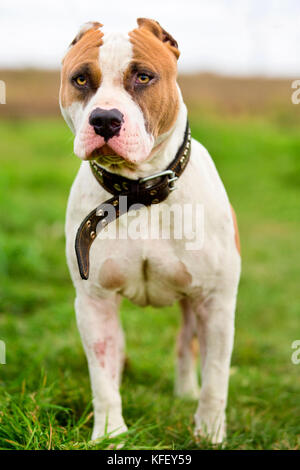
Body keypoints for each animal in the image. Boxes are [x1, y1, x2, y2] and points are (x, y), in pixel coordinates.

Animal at [59, 19, 241, 444]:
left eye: (143, 77)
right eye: (80, 79)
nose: (105, 120)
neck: (139, 192)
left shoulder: (217, 302)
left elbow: (216, 378)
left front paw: (211, 432)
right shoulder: (94, 301)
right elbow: (102, 378)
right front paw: (110, 434)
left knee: (187, 344)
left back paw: (186, 393)